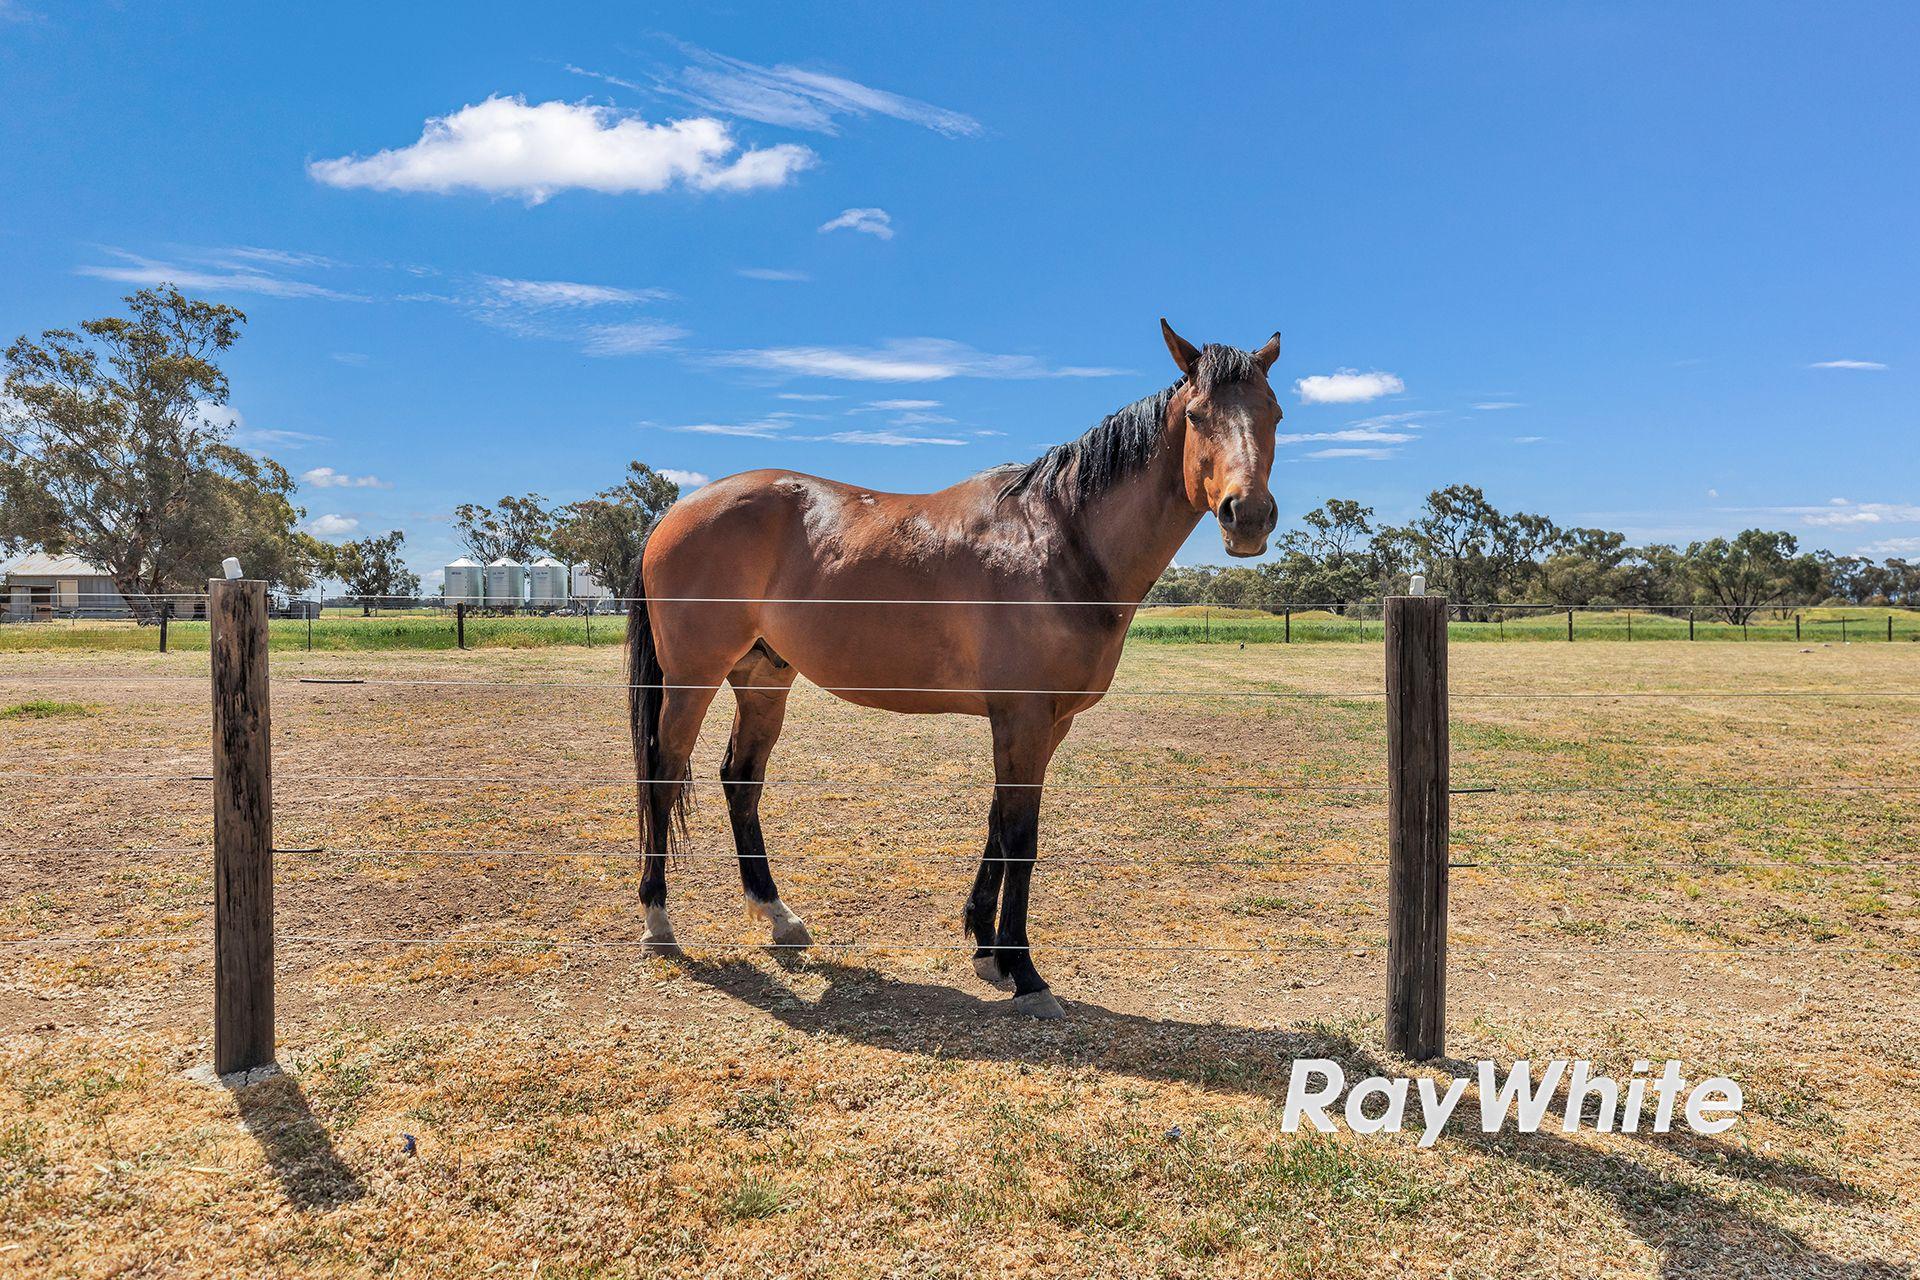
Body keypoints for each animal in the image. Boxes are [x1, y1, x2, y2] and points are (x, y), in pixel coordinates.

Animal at [626, 320, 1282, 1018]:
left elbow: (999, 822)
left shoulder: (1043, 723)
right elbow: (1021, 835)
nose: (1248, 516)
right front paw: (1026, 974)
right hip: (692, 678)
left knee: (740, 780)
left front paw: (986, 949)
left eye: (1273, 412)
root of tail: (673, 513)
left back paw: (779, 917)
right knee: (663, 774)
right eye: (1197, 415)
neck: (1059, 542)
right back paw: (659, 922)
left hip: (762, 678)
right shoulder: (1022, 715)